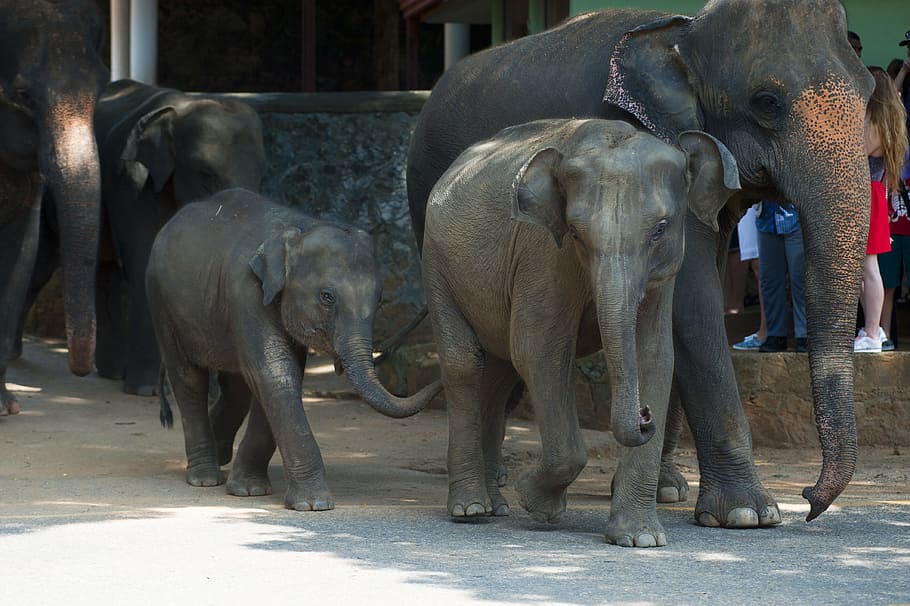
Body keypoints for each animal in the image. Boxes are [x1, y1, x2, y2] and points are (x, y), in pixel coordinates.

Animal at [19, 78, 268, 396]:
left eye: (261, 175)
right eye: (205, 173)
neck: (182, 108)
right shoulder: (133, 183)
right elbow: (145, 265)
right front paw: (147, 390)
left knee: (105, 272)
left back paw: (112, 373)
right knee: (41, 265)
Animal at [148, 190, 444, 512]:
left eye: (379, 300)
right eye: (327, 297)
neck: (300, 228)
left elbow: (279, 377)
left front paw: (249, 490)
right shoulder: (246, 293)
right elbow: (275, 374)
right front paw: (314, 504)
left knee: (236, 386)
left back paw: (220, 454)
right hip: (162, 303)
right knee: (188, 379)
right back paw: (204, 477)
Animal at [424, 117, 744, 548]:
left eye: (660, 230)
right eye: (575, 232)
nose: (645, 416)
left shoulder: (665, 274)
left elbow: (655, 356)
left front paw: (640, 539)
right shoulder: (542, 252)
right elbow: (538, 349)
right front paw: (537, 504)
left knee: (498, 372)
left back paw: (496, 506)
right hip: (436, 265)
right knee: (466, 364)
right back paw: (471, 508)